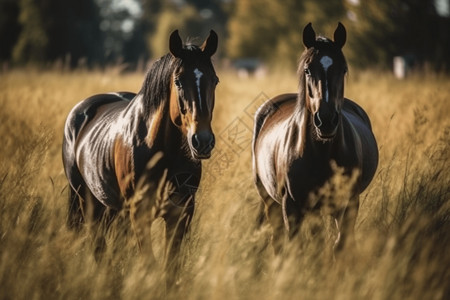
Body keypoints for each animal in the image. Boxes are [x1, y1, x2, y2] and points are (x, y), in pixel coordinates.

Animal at [62, 29, 220, 280]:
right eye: (178, 81)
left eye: (214, 80)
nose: (202, 141)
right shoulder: (139, 214)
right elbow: (150, 264)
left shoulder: (181, 214)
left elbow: (170, 268)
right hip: (88, 201)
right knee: (98, 246)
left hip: (112, 209)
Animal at [251, 22, 378, 254]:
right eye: (308, 70)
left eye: (343, 69)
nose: (326, 120)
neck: (320, 152)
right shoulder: (291, 206)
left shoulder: (349, 202)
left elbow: (341, 245)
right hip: (270, 199)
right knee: (279, 240)